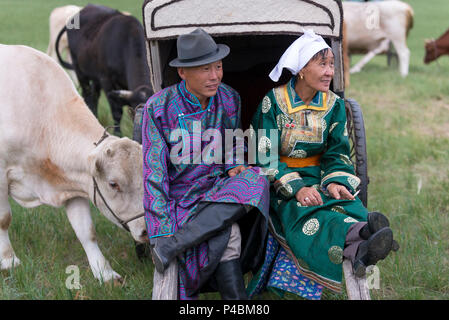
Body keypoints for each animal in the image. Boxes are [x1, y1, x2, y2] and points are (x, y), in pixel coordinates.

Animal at [0, 44, 148, 282]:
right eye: (113, 184)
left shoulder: (75, 184)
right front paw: (8, 261)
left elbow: (86, 231)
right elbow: (4, 219)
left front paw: (104, 273)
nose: (145, 231)